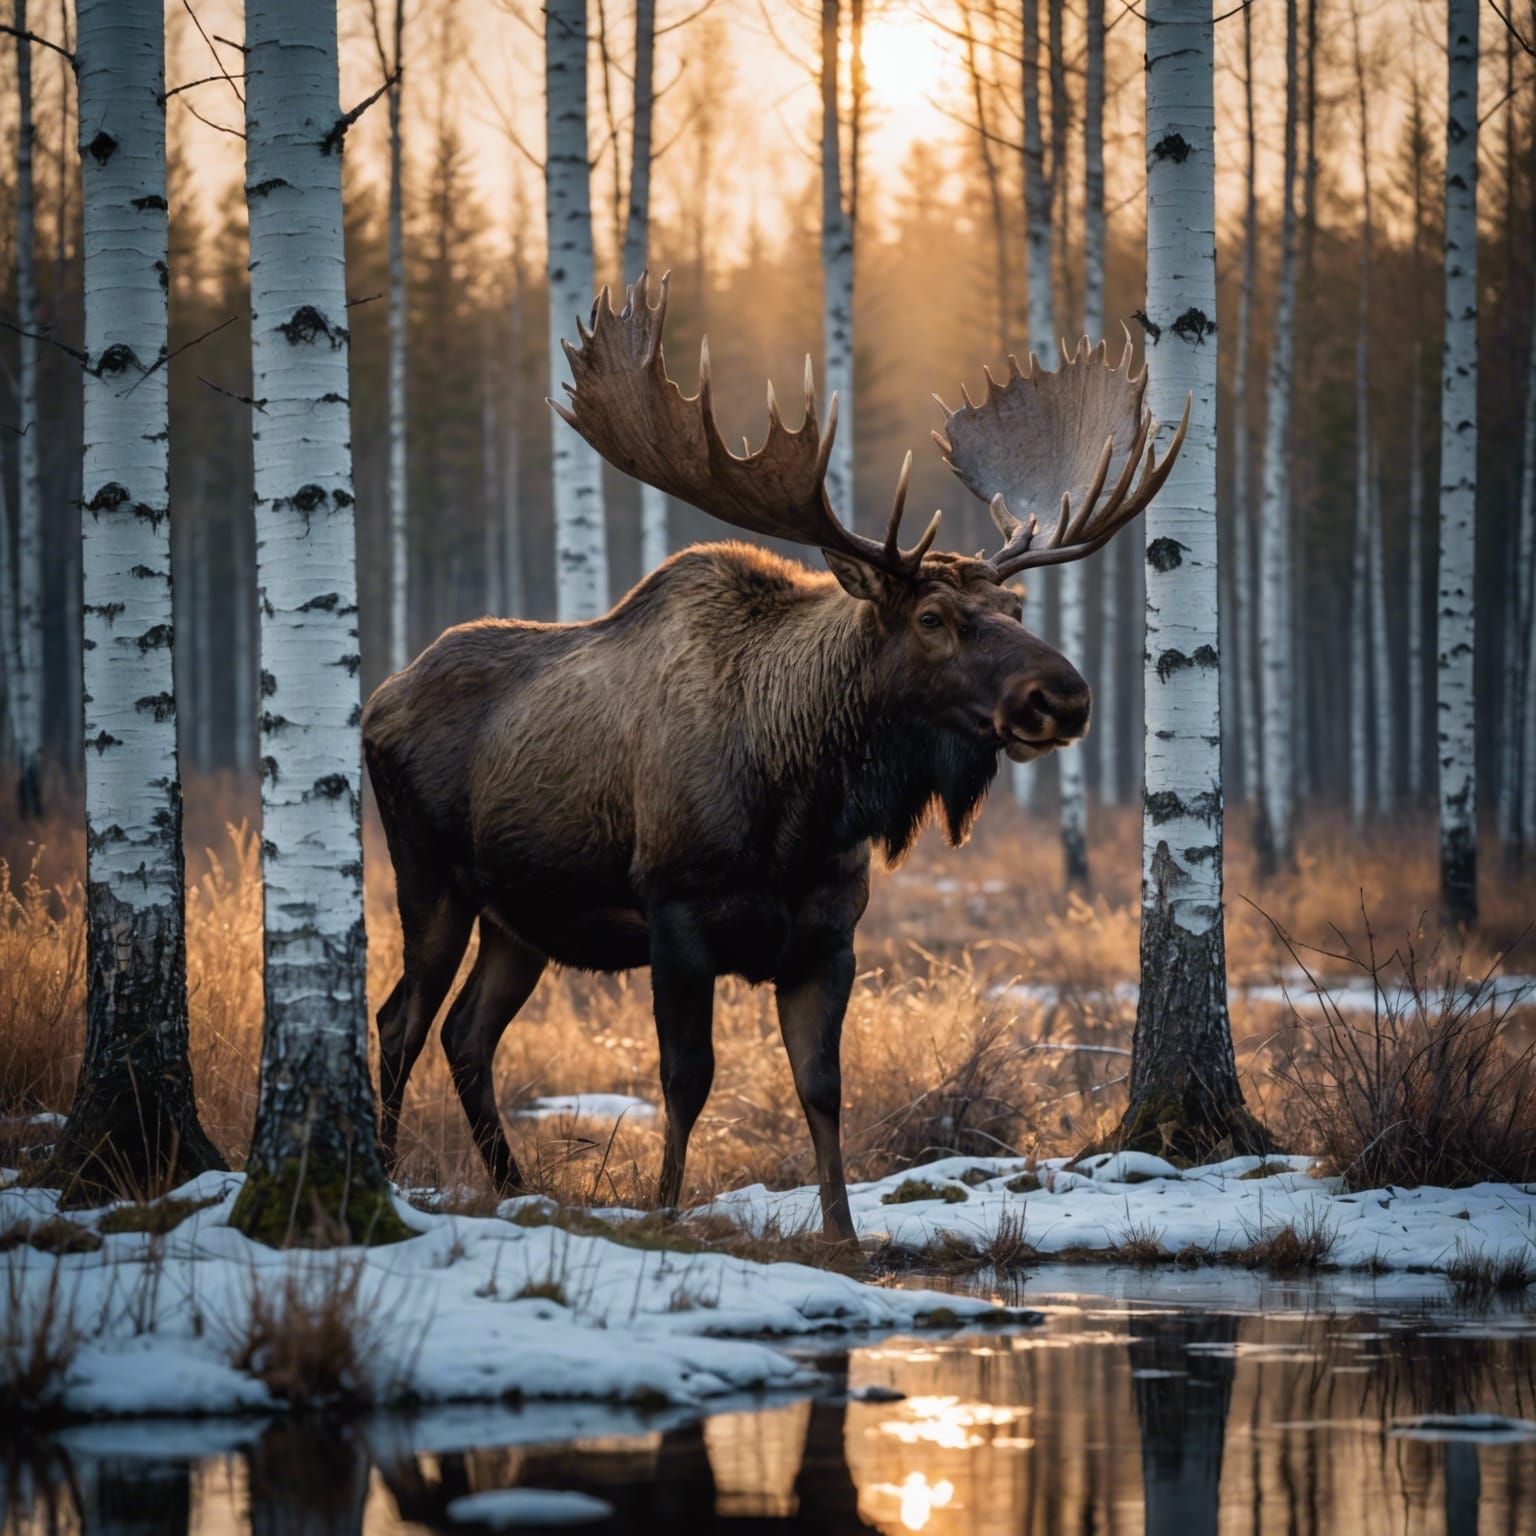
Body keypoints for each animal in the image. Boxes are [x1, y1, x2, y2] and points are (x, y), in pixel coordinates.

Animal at [361, 273, 1186, 1242]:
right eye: (932, 618)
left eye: (1016, 608)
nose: (1064, 697)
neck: (800, 805)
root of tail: (378, 700)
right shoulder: (675, 911)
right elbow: (687, 1079)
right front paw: (666, 1211)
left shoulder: (829, 934)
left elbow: (821, 1086)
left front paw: (843, 1230)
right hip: (432, 877)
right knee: (401, 1019)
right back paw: (384, 1172)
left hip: (520, 916)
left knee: (466, 1034)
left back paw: (511, 1185)